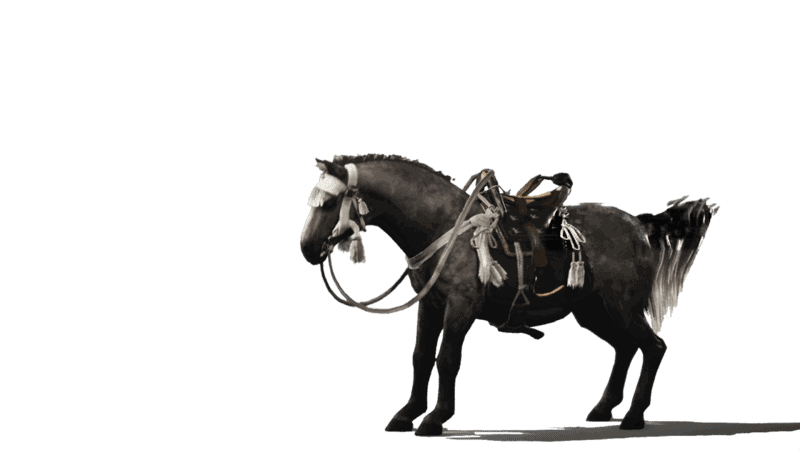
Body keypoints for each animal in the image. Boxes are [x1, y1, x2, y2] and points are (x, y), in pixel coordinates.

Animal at [299, 154, 716, 436]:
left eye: (331, 202)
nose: (307, 248)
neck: (445, 226)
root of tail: (638, 226)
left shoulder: (461, 306)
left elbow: (447, 359)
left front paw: (435, 418)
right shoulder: (431, 304)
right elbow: (420, 357)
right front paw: (406, 413)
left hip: (621, 308)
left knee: (654, 347)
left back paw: (633, 415)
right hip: (595, 311)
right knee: (626, 347)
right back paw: (604, 408)